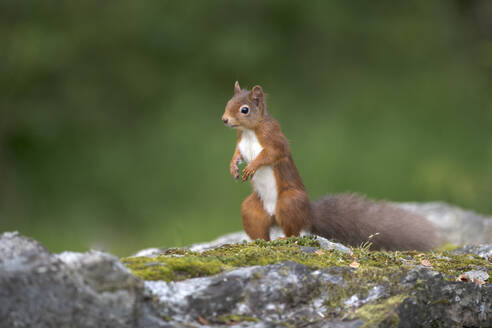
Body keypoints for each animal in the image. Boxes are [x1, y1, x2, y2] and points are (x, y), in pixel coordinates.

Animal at [221, 82, 440, 251]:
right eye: (228, 103)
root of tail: (308, 214)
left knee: (294, 231)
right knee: (260, 230)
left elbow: (271, 155)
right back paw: (258, 242)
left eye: (244, 109)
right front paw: (233, 167)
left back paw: (286, 237)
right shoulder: (241, 145)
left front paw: (252, 166)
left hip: (289, 202)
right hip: (251, 210)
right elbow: (237, 154)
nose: (224, 120)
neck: (249, 131)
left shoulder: (275, 140)